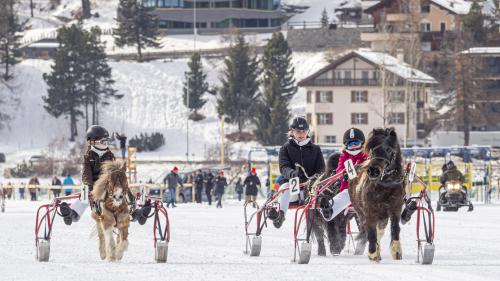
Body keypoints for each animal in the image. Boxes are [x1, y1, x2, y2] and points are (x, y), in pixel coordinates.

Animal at [348, 127, 406, 260]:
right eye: (372, 149)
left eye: (388, 149)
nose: (373, 171)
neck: (385, 186)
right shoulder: (369, 212)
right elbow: (371, 233)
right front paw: (373, 253)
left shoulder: (395, 209)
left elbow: (395, 228)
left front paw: (396, 251)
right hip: (361, 212)